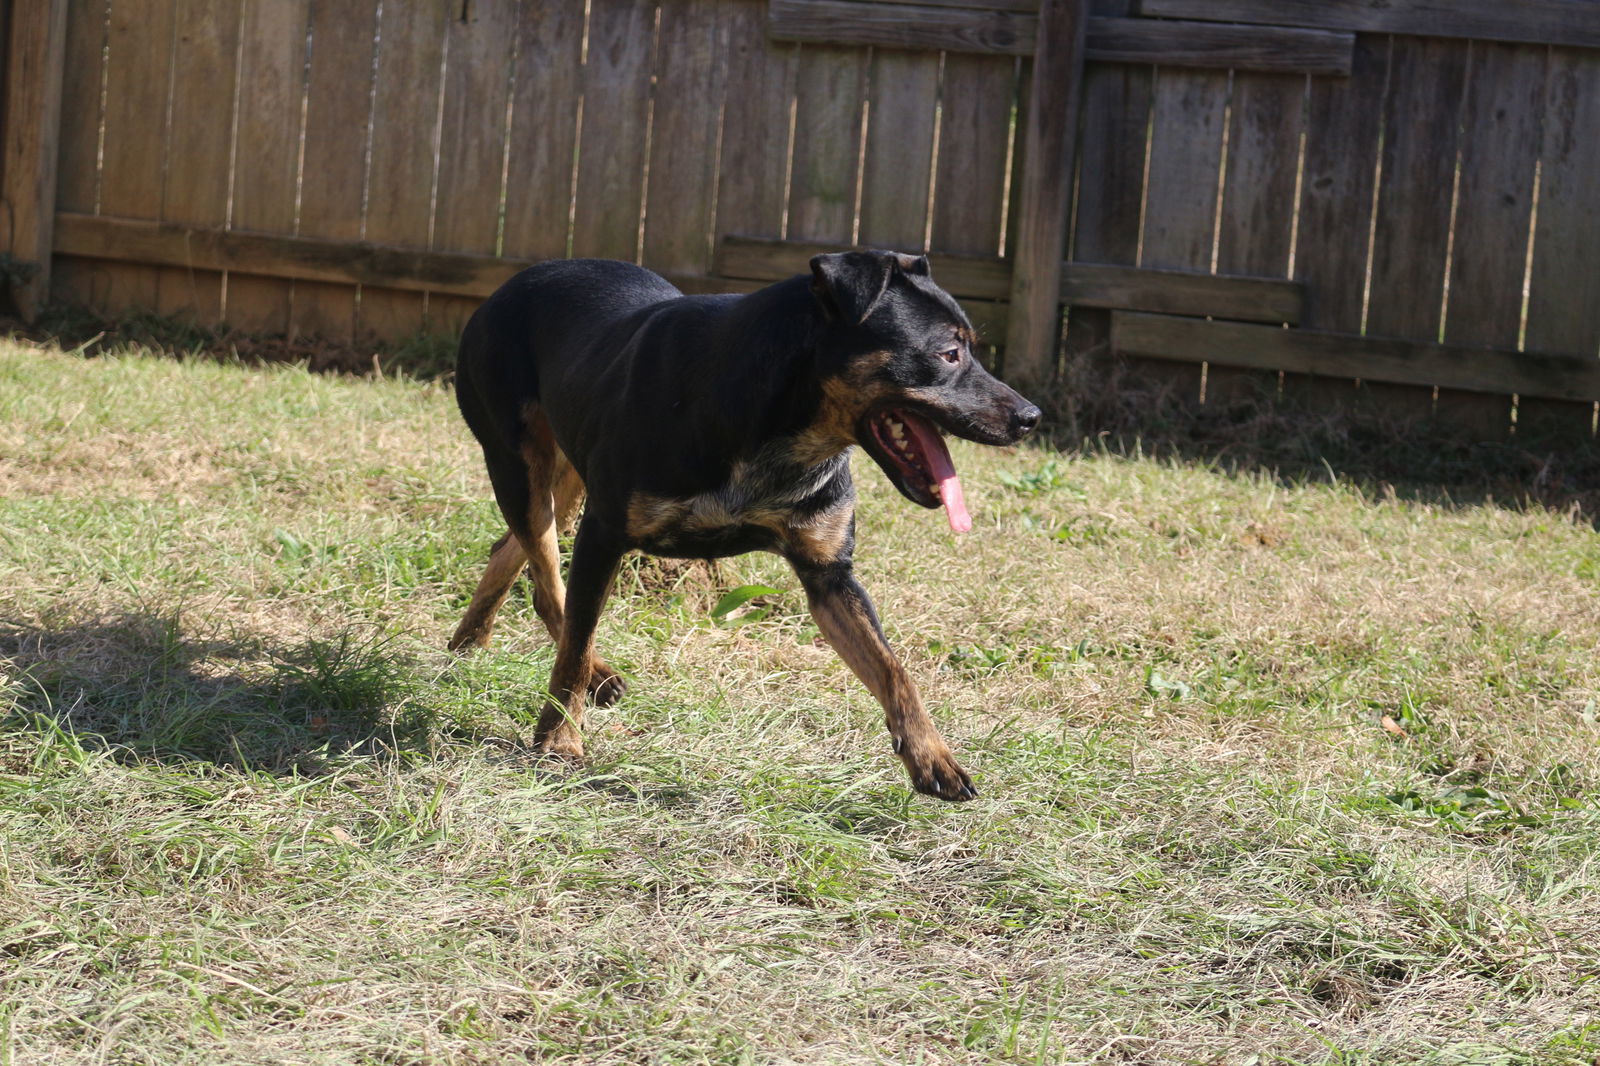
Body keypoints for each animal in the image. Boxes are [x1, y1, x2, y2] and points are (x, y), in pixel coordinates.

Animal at [454, 251, 1036, 797]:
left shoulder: (829, 575)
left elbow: (893, 670)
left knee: (515, 547)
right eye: (948, 353)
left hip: (569, 473)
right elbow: (575, 644)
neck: (778, 425)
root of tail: (513, 283)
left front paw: (932, 757)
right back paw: (583, 673)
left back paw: (471, 637)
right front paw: (559, 741)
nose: (1030, 418)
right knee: (547, 576)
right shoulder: (604, 533)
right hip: (519, 463)